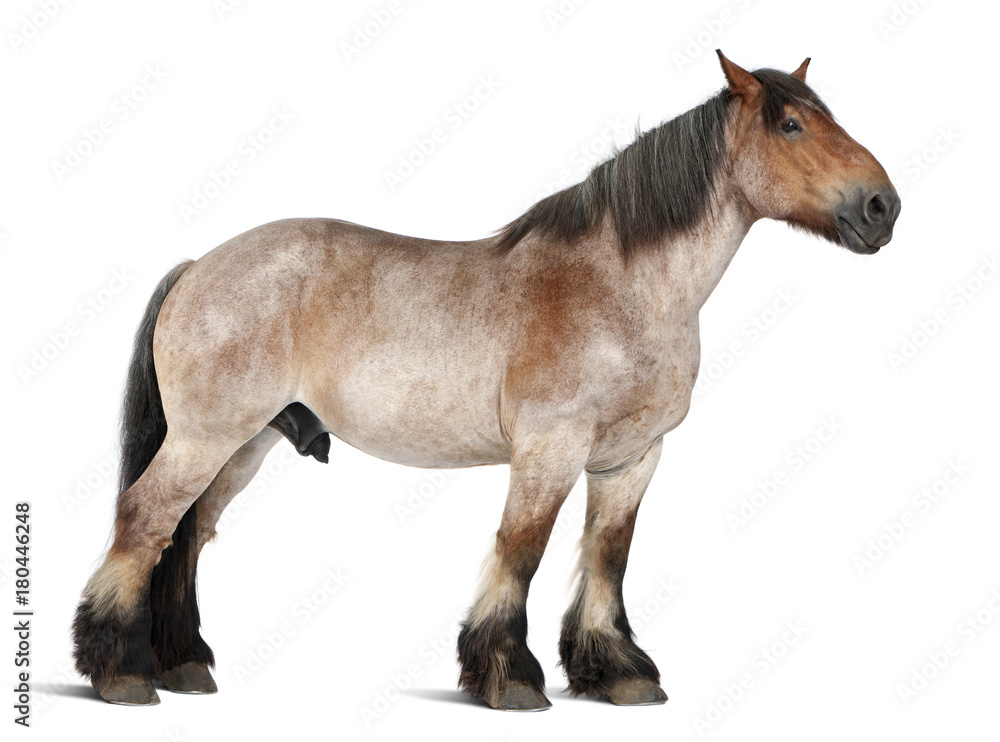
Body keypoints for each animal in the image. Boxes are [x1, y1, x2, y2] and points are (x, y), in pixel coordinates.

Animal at [72, 51, 900, 710]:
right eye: (790, 126)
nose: (882, 206)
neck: (622, 287)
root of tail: (199, 265)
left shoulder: (631, 460)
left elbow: (608, 557)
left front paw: (618, 675)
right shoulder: (549, 451)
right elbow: (521, 552)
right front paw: (511, 677)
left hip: (242, 446)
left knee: (186, 533)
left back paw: (182, 664)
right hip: (207, 437)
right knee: (144, 520)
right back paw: (122, 674)